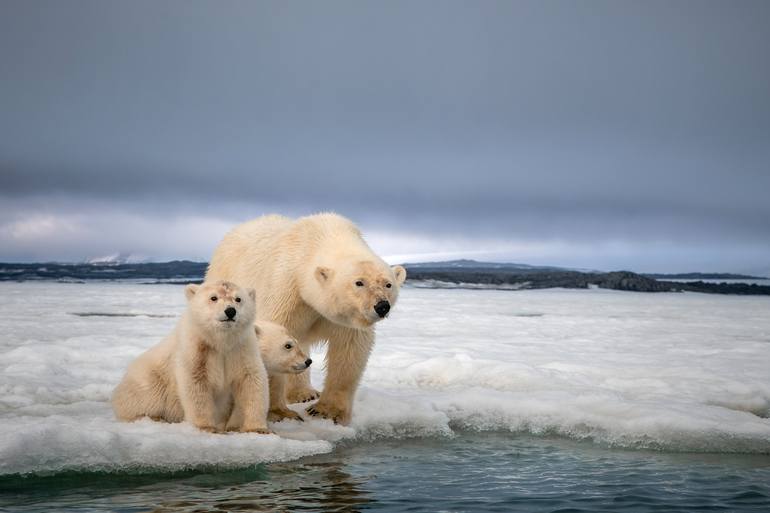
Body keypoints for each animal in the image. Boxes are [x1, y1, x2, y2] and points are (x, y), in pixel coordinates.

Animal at [111, 280, 270, 432]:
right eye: (213, 297)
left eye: (238, 299)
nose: (230, 311)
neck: (220, 341)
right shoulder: (196, 349)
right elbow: (196, 383)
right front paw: (207, 427)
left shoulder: (241, 348)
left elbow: (251, 380)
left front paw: (258, 428)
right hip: (149, 379)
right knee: (146, 398)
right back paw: (153, 418)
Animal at [204, 212, 408, 424]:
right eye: (359, 282)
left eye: (388, 284)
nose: (382, 306)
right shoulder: (286, 291)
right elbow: (275, 342)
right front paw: (278, 412)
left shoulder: (347, 319)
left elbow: (349, 351)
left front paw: (327, 411)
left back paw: (304, 393)